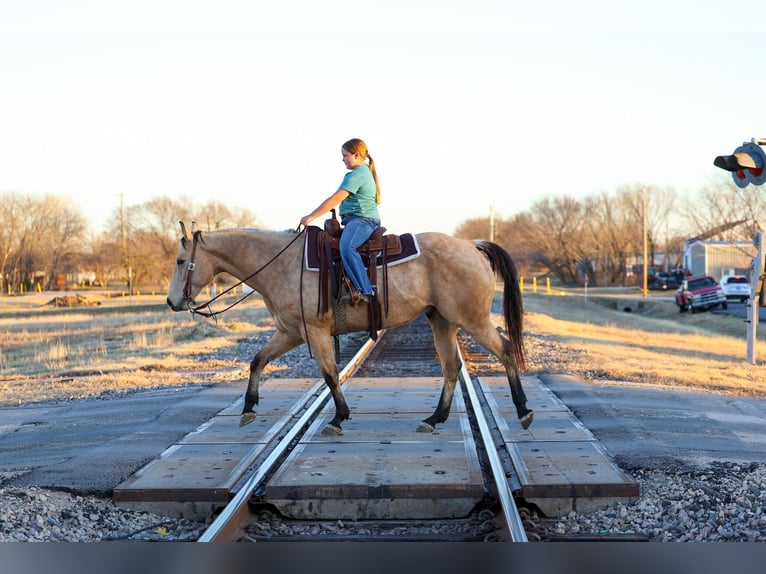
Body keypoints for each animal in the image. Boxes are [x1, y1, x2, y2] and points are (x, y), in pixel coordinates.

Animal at [166, 222, 533, 435]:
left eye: (181, 261)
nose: (171, 301)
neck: (282, 263)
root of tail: (472, 245)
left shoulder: (313, 332)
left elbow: (330, 373)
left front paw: (338, 417)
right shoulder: (291, 332)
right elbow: (258, 360)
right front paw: (248, 408)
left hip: (473, 320)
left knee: (504, 351)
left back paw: (523, 410)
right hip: (441, 321)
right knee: (452, 367)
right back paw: (434, 419)